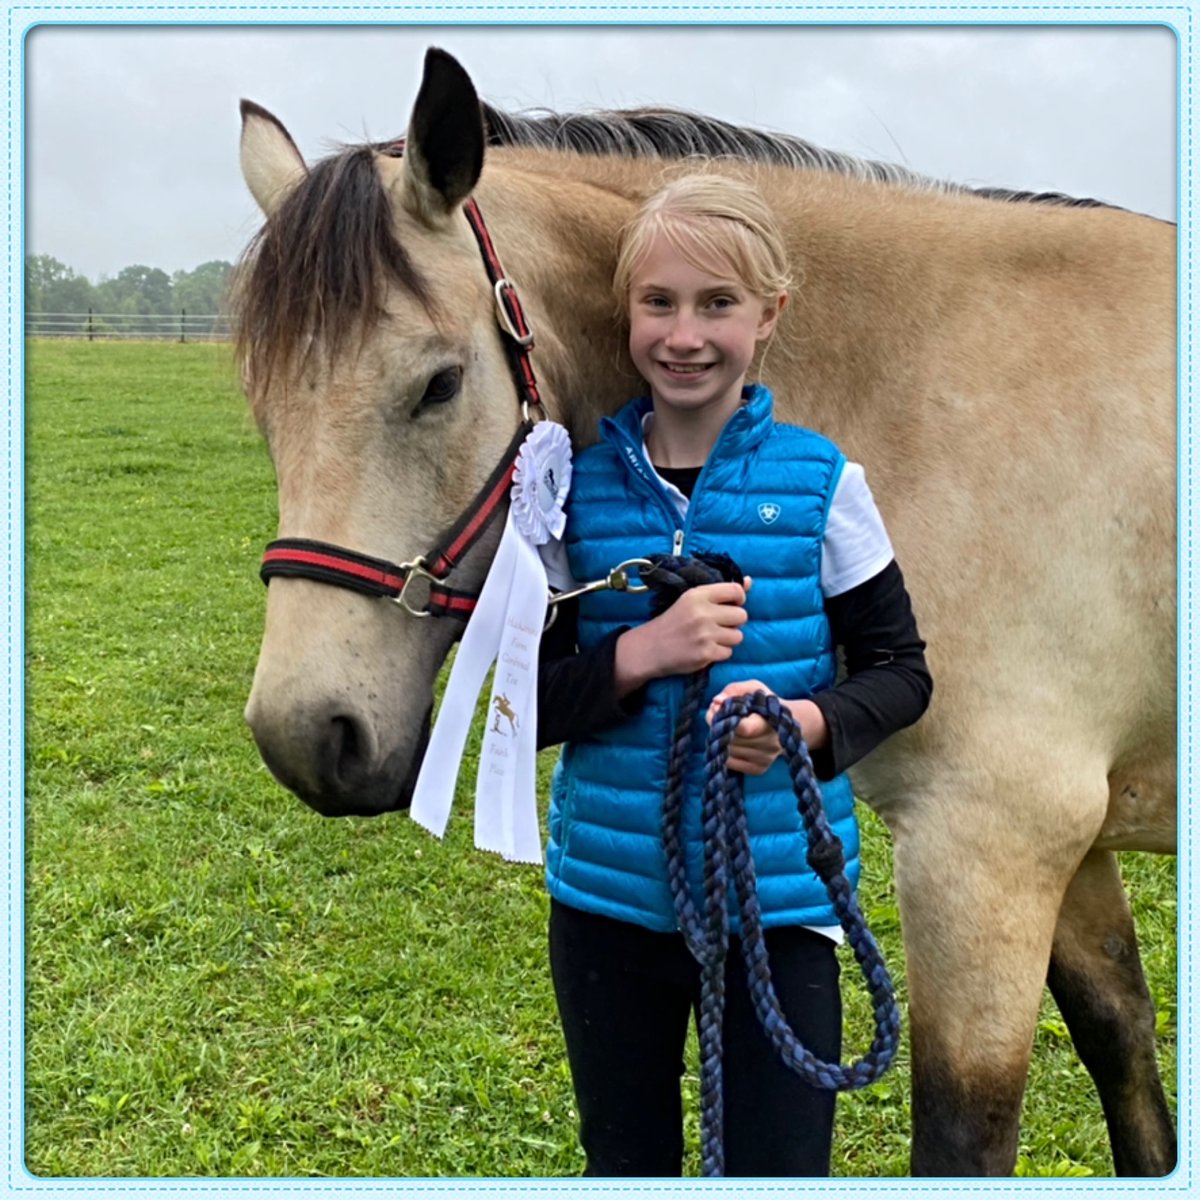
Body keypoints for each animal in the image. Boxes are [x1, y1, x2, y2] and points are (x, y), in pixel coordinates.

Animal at [233, 47, 1176, 1176]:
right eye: (263, 405)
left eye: (440, 384)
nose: (306, 737)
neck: (925, 393)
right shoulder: (1065, 850)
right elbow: (1126, 1056)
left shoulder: (988, 850)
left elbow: (967, 1134)